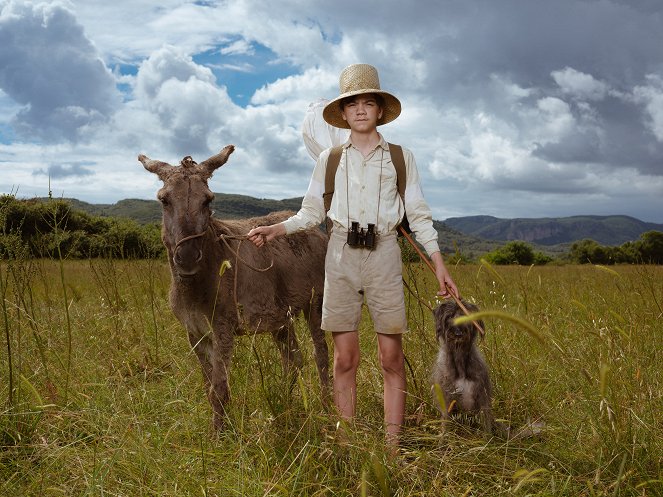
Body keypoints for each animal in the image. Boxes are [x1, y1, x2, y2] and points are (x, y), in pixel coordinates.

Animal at [430, 296, 492, 432]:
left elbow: (486, 424)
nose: (458, 333)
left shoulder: (482, 397)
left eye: (464, 315)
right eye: (449, 316)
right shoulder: (447, 400)